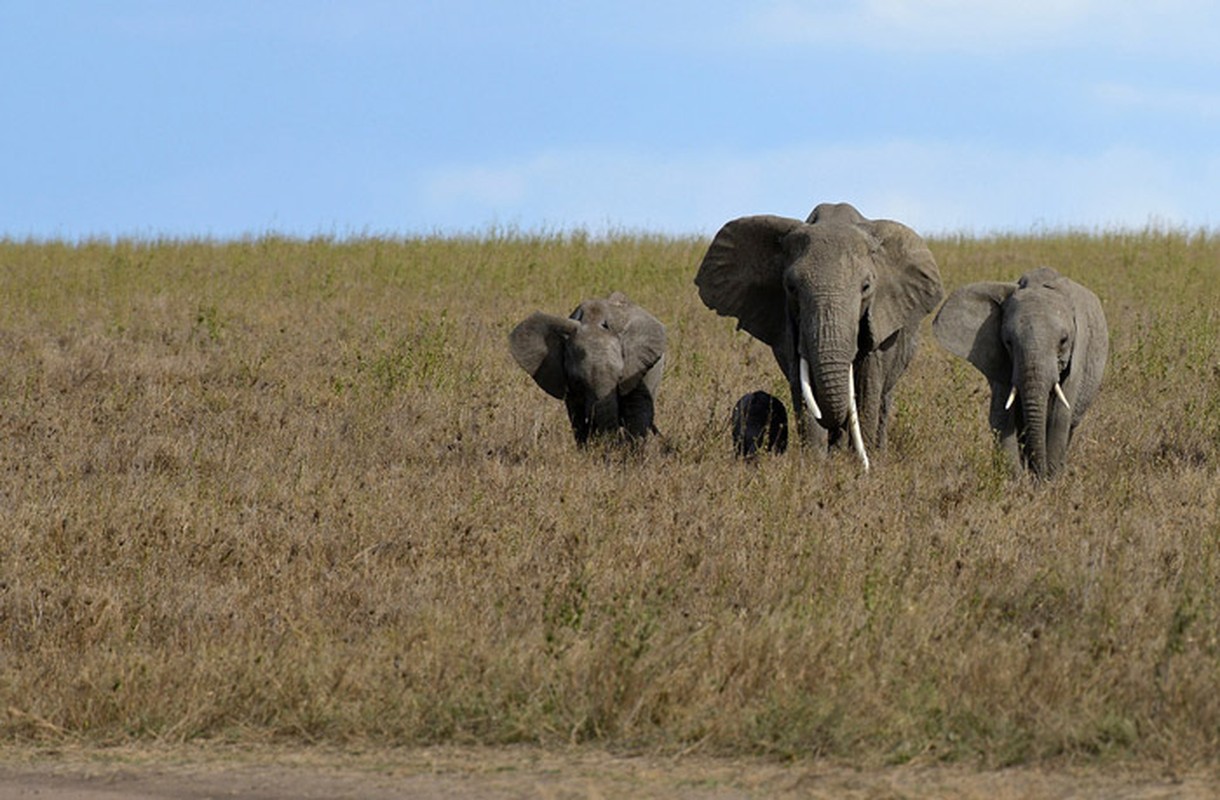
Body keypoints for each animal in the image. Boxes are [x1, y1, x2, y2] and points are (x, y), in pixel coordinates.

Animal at [697, 203, 941, 470]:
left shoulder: (878, 321)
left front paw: (860, 463)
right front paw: (816, 466)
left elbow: (867, 386)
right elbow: (804, 388)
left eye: (866, 287)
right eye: (791, 288)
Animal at [932, 268, 1107, 480]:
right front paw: (1015, 481)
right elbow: (1002, 415)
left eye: (1064, 340)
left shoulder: (1078, 356)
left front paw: (1051, 482)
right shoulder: (1001, 359)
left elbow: (1059, 417)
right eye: (1008, 342)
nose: (1039, 475)